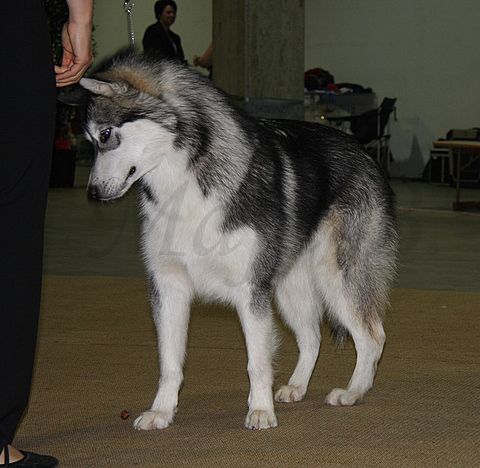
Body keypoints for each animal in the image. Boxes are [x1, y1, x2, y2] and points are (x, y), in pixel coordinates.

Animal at [80, 53, 398, 430]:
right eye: (89, 141)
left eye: (105, 134)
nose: (92, 193)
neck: (185, 181)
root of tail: (365, 154)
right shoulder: (169, 288)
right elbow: (169, 362)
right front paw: (162, 411)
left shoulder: (250, 291)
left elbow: (257, 362)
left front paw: (260, 410)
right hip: (291, 289)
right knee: (312, 338)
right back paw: (296, 387)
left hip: (337, 280)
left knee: (372, 337)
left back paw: (353, 392)